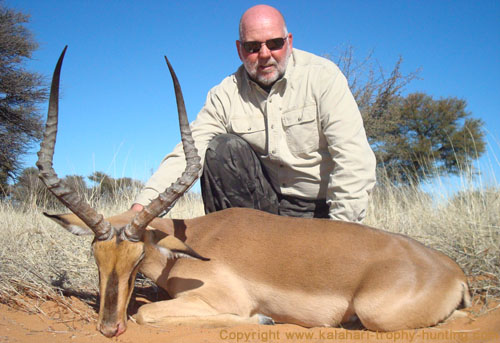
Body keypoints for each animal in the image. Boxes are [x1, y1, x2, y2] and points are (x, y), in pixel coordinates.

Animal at [37, 47, 470, 338]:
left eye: (138, 255)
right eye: (96, 256)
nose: (109, 327)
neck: (195, 242)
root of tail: (453, 271)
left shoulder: (223, 300)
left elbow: (147, 313)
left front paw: (263, 318)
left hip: (377, 314)